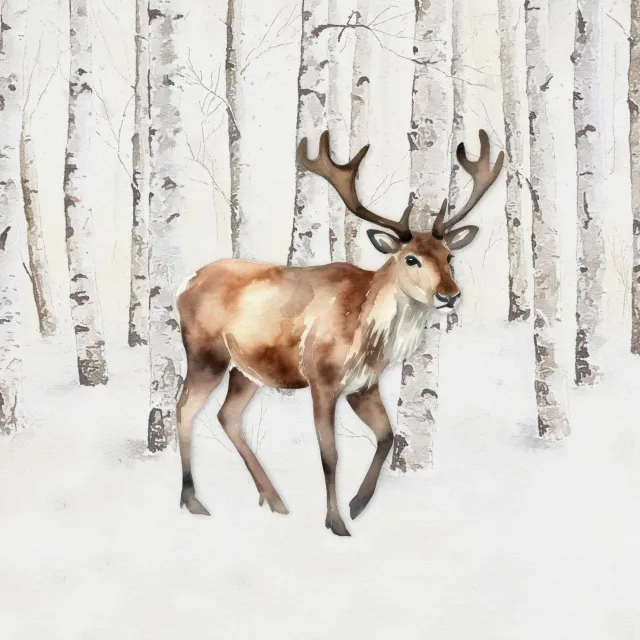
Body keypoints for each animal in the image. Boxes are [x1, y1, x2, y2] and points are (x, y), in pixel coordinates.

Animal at [175, 129, 503, 536]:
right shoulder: (321, 379)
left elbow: (387, 436)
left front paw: (358, 504)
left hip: (247, 369)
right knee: (185, 408)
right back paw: (193, 500)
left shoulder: (364, 385)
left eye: (449, 257)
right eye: (411, 258)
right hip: (205, 353)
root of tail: (185, 283)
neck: (366, 335)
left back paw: (274, 499)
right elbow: (330, 454)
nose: (449, 295)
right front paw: (335, 522)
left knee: (228, 416)